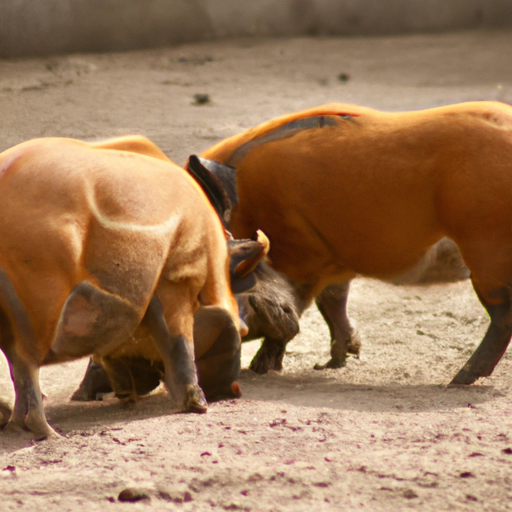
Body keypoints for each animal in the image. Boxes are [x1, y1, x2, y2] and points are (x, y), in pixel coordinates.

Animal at [0, 137, 266, 440]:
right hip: (43, 289)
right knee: (26, 359)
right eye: (239, 330)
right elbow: (178, 338)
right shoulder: (178, 278)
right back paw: (49, 433)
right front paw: (198, 406)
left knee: (17, 361)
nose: (233, 390)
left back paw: (19, 427)